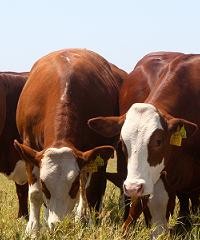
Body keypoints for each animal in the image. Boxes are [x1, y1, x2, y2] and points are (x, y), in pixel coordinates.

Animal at [14, 48, 127, 234]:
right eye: (44, 185)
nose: (59, 225)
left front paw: (88, 223)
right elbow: (35, 194)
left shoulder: (95, 153)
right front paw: (33, 229)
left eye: (72, 185)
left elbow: (89, 190)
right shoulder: (28, 146)